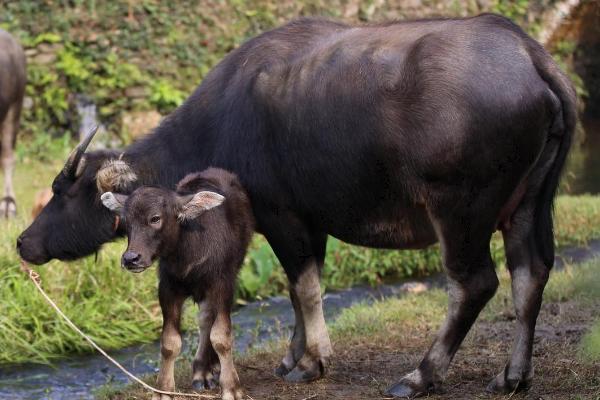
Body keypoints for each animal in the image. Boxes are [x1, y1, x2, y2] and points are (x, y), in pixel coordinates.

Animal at [103, 168, 253, 400]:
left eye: (155, 218)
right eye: (126, 222)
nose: (131, 259)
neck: (188, 253)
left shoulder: (222, 284)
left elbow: (221, 336)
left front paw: (231, 388)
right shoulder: (168, 288)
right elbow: (169, 342)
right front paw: (163, 390)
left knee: (208, 320)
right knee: (204, 319)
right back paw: (202, 372)